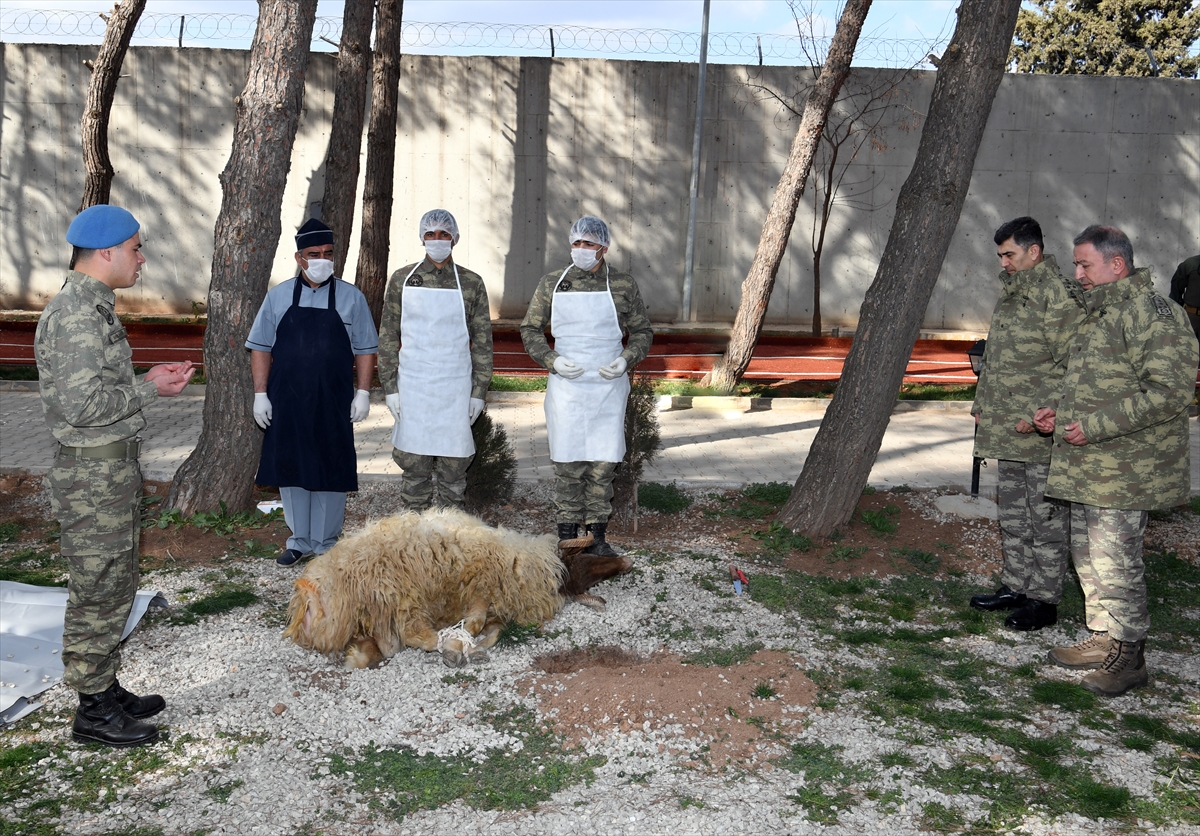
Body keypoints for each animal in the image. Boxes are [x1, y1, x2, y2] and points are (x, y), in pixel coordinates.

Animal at [284, 506, 633, 666]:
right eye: (585, 557)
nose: (627, 563)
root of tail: (306, 594)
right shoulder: (481, 588)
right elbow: (475, 623)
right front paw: (461, 643)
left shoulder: (494, 604)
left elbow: (493, 631)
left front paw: (477, 644)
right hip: (400, 595)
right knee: (410, 636)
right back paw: (447, 646)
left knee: (386, 644)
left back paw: (361, 650)